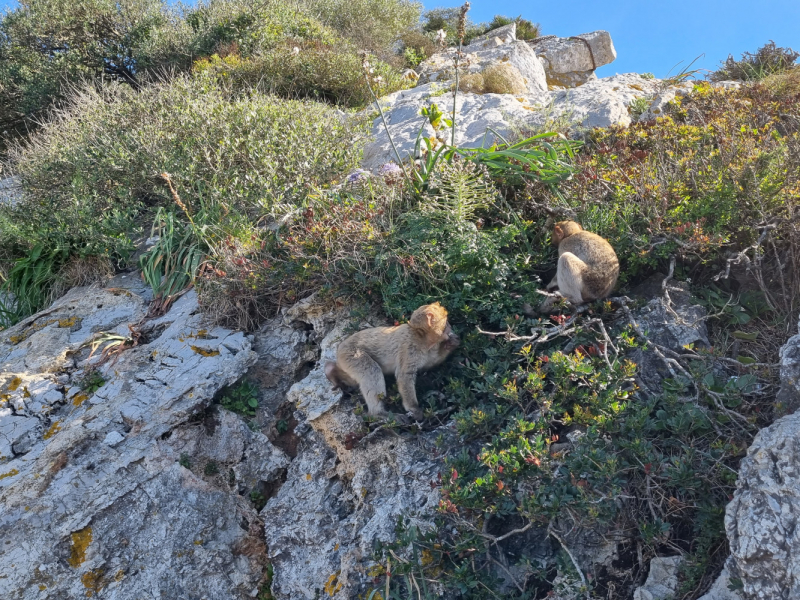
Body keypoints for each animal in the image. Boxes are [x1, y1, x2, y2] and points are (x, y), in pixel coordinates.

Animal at [324, 300, 460, 422]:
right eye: (446, 322)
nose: (450, 326)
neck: (421, 338)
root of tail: (340, 349)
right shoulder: (409, 349)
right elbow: (404, 375)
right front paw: (414, 409)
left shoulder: (428, 351)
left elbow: (430, 364)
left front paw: (451, 344)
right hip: (351, 354)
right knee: (371, 370)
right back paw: (378, 413)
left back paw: (331, 372)